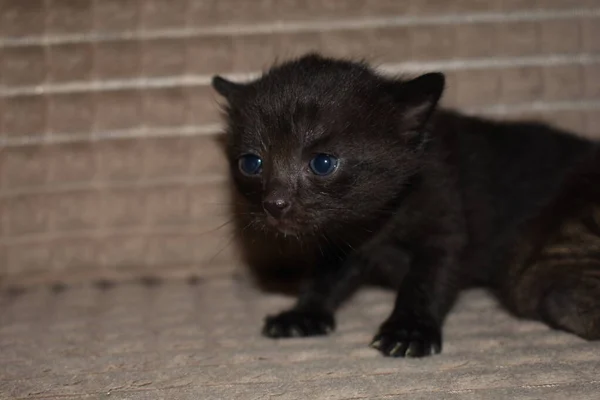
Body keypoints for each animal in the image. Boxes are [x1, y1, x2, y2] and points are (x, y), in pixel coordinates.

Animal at [212, 53, 600, 356]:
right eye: (251, 163)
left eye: (322, 163)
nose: (275, 203)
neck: (379, 222)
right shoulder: (340, 242)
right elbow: (323, 277)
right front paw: (303, 313)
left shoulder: (445, 222)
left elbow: (425, 280)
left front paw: (409, 330)